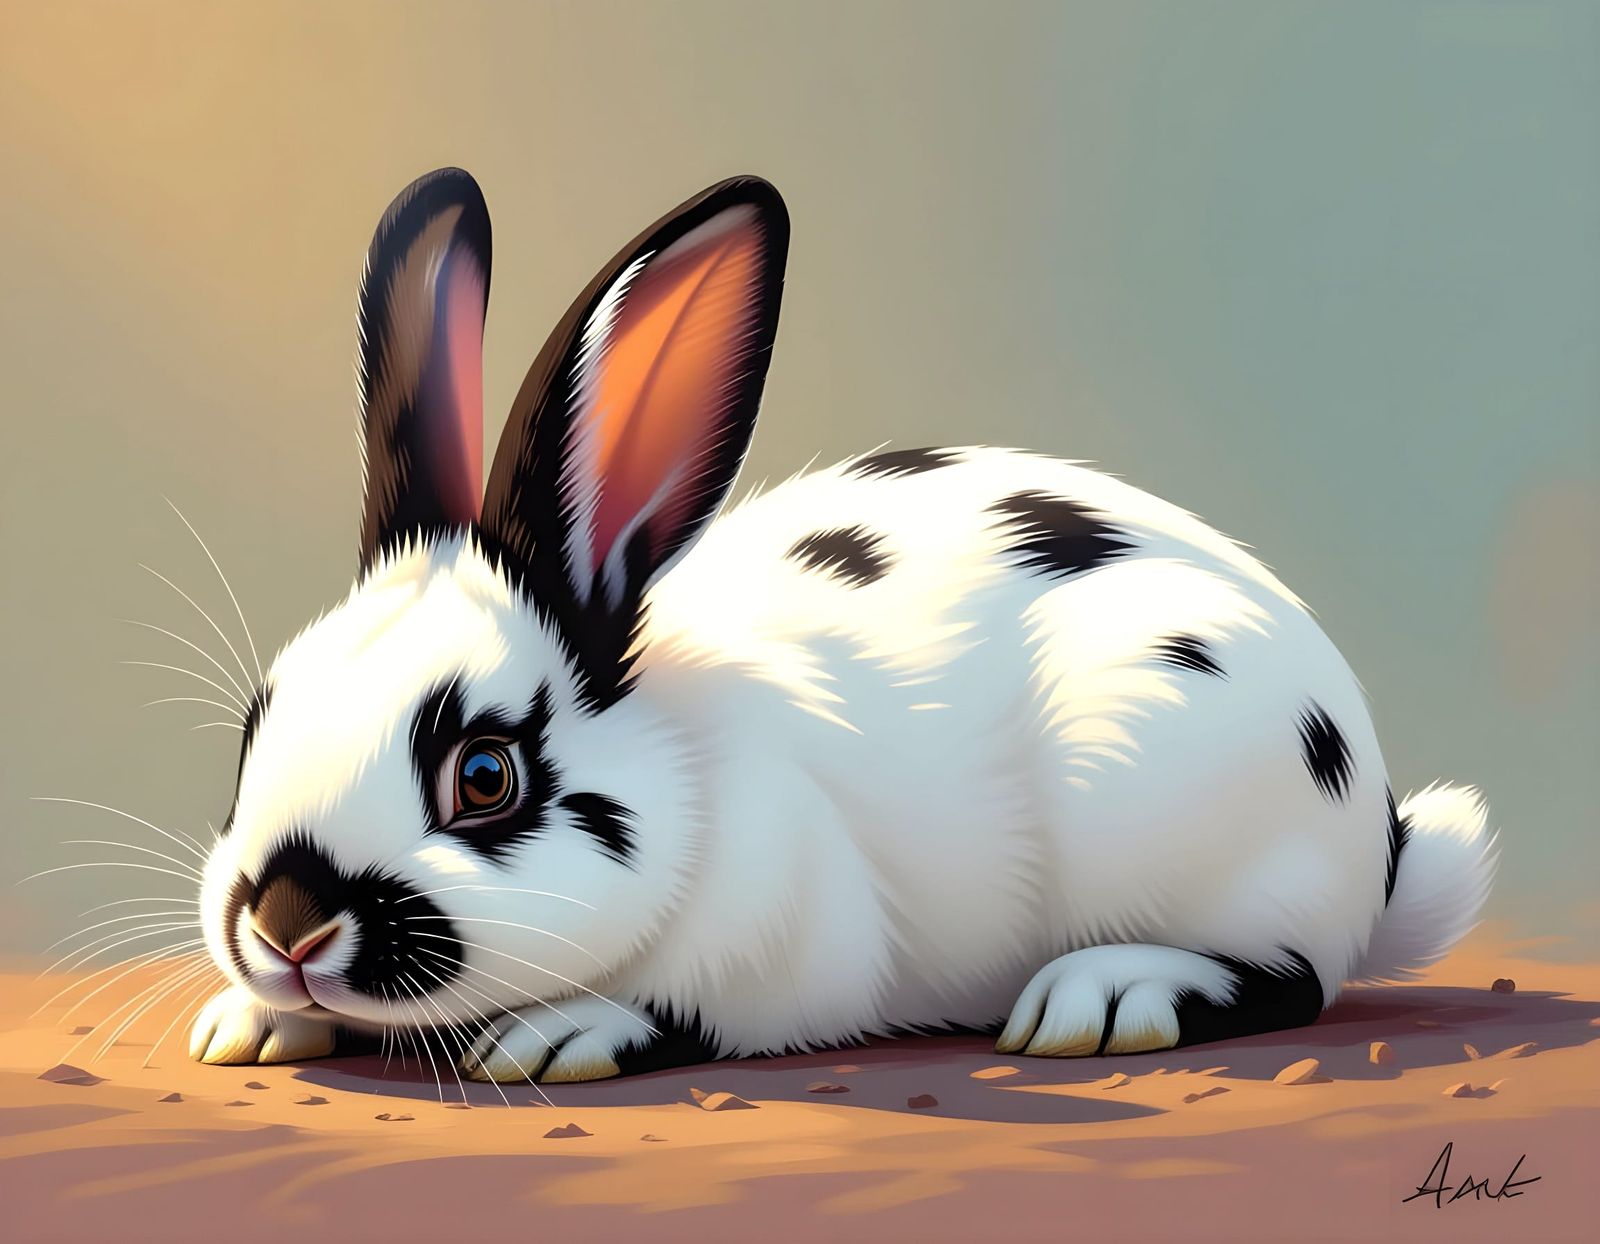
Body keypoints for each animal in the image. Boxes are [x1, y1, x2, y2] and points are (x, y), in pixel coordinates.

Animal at [189, 167, 1498, 1083]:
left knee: (1290, 974)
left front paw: (560, 1030)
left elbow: (695, 1006)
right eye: (255, 729)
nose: (286, 924)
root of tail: (1379, 837)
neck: (686, 765)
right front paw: (243, 1023)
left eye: (484, 773)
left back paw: (1105, 995)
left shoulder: (789, 941)